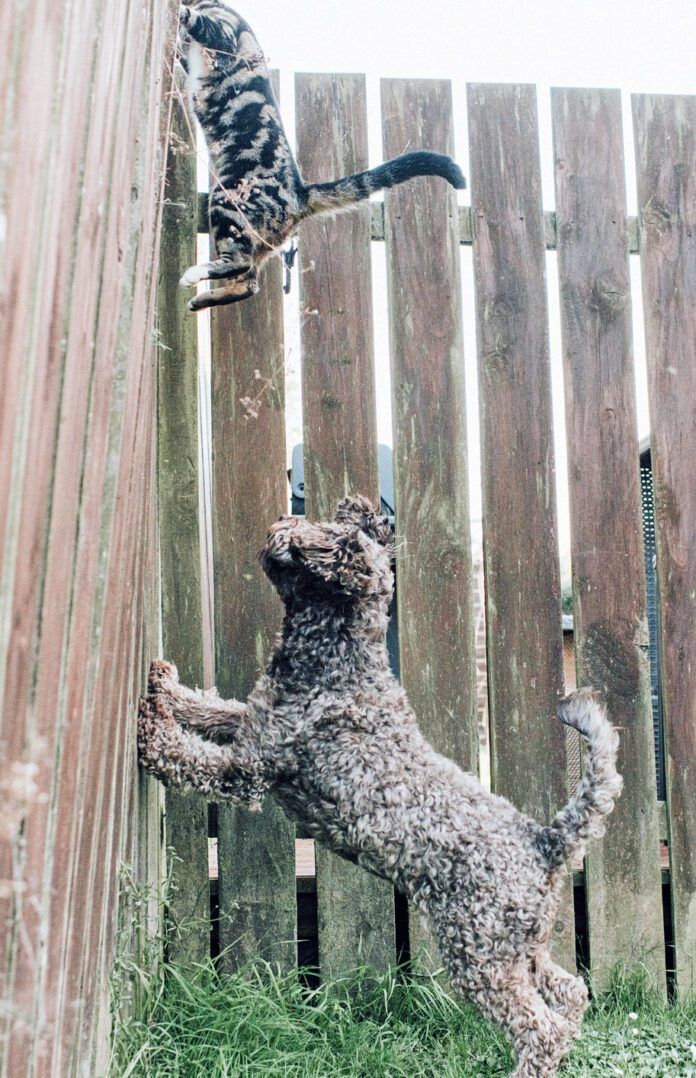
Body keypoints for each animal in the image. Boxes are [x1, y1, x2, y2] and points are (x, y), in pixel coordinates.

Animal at [138, 495, 624, 1078]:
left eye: (313, 533)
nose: (283, 521)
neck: (341, 658)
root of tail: (547, 841)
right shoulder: (250, 725)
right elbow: (210, 707)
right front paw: (165, 685)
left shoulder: (252, 768)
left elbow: (189, 757)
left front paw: (151, 732)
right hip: (523, 947)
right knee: (570, 992)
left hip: (480, 954)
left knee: (540, 1028)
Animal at [178, 1, 469, 312]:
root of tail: (300, 193)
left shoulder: (225, 32)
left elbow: (201, 22)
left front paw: (183, 14)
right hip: (255, 235)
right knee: (249, 282)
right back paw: (201, 299)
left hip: (229, 200)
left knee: (239, 264)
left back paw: (194, 275)